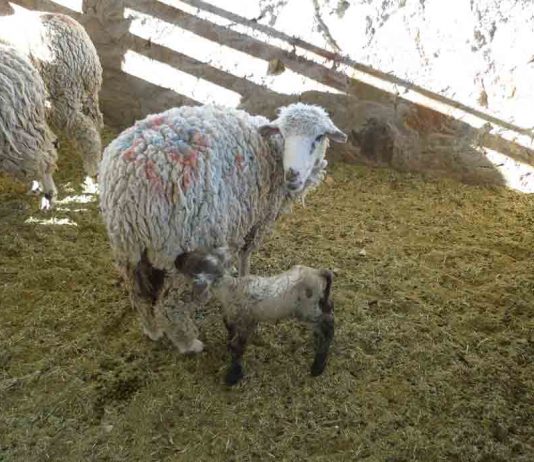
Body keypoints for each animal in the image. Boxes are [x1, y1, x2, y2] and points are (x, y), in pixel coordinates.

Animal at [98, 102, 346, 354]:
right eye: (283, 134)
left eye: (319, 137)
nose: (293, 175)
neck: (271, 152)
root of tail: (129, 185)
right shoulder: (257, 218)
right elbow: (246, 253)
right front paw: (245, 277)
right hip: (183, 248)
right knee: (170, 306)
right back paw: (189, 343)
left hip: (129, 250)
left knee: (139, 295)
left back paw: (152, 330)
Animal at [176, 247, 336, 384]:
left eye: (189, 264)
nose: (177, 258)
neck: (230, 288)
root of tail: (319, 273)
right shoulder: (233, 317)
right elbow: (230, 331)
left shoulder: (247, 323)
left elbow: (238, 347)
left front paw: (233, 375)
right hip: (320, 302)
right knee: (328, 312)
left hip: (309, 310)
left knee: (327, 326)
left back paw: (318, 365)